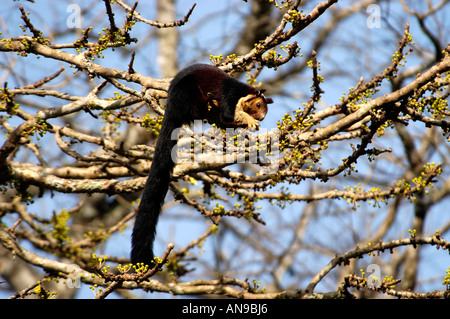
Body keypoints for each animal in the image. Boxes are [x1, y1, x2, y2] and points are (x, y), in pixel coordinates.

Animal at [128, 63, 272, 266]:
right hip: (187, 91)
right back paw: (209, 105)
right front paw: (248, 120)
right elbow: (230, 114)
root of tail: (170, 107)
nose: (261, 118)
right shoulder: (229, 95)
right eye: (258, 105)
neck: (242, 93)